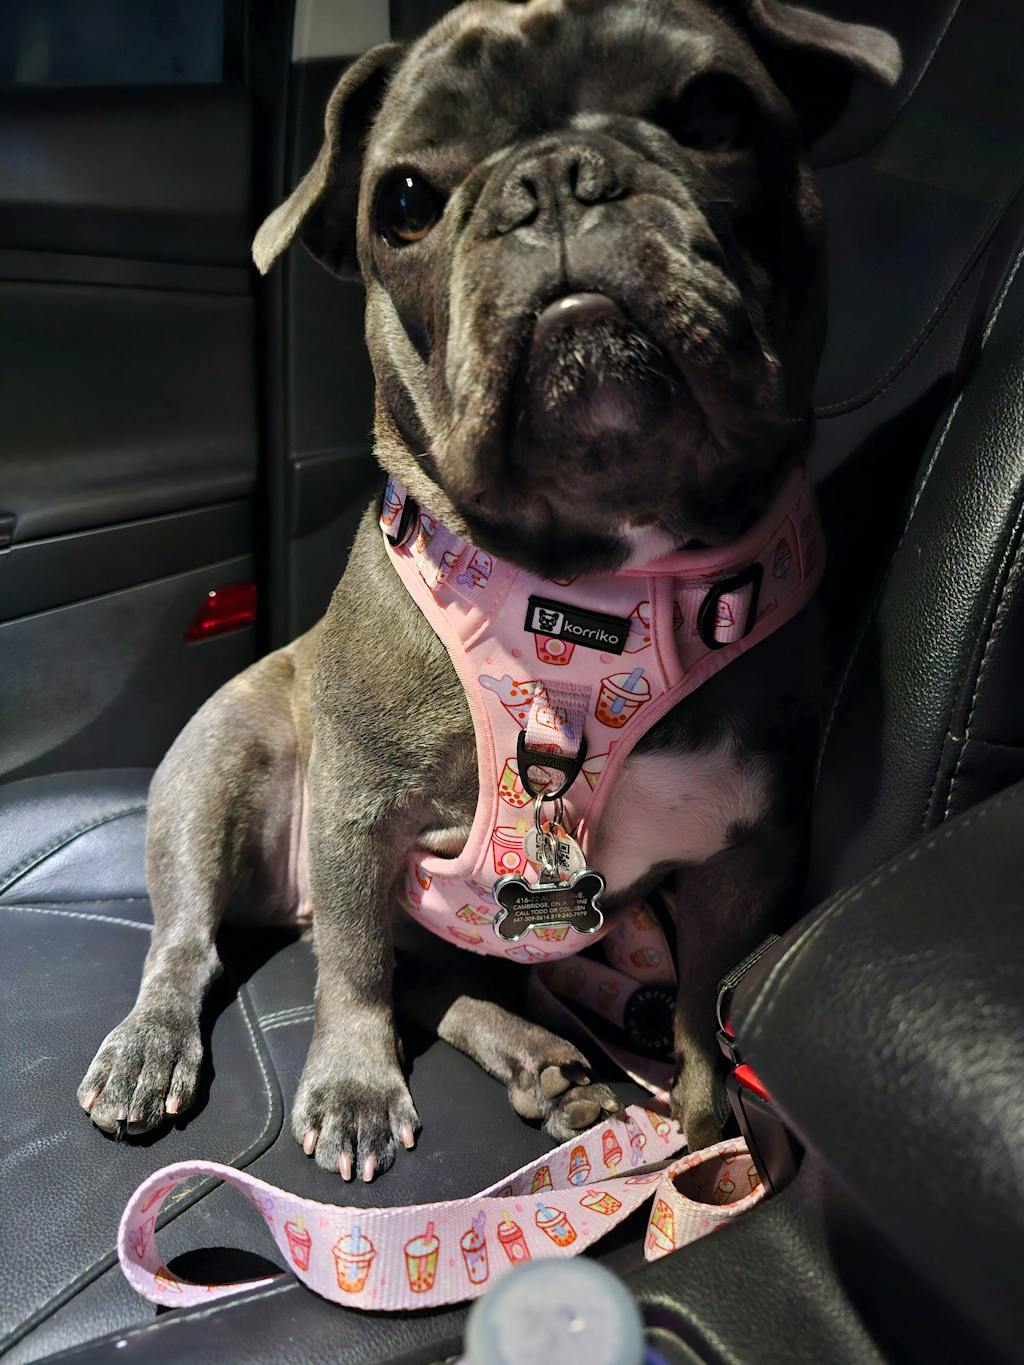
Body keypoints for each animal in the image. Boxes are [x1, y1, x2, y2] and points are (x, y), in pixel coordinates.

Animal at [78, 0, 899, 1181]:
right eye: (405, 202)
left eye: (711, 112)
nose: (553, 177)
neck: (597, 585)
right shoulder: (358, 814)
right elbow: (357, 966)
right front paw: (354, 1084)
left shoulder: (744, 855)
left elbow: (702, 1000)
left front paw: (705, 1129)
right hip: (215, 767)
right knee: (203, 938)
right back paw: (154, 1045)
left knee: (448, 978)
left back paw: (548, 1063)